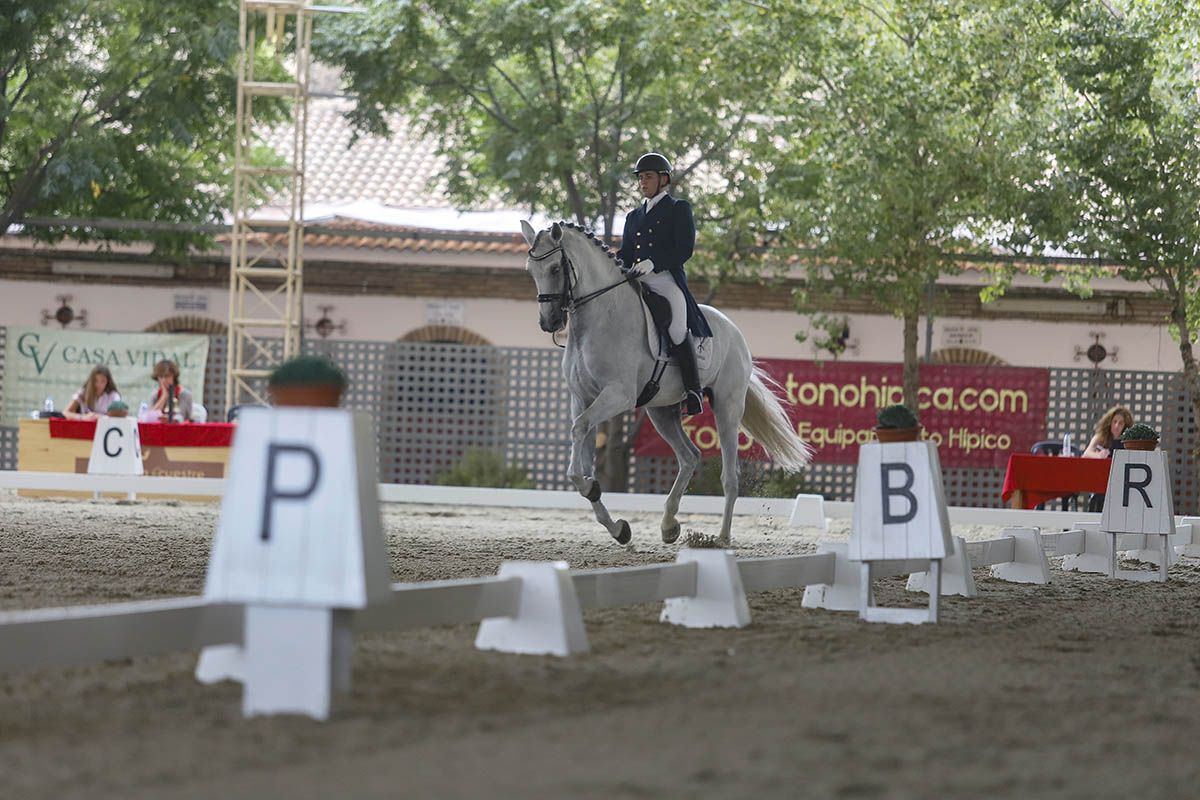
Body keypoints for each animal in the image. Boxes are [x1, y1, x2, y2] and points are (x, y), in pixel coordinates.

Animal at [520, 219, 811, 546]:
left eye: (556, 268)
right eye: (531, 270)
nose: (549, 323)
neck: (600, 315)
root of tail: (734, 331)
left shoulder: (617, 395)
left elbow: (579, 434)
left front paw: (591, 489)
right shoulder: (581, 398)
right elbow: (583, 448)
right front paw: (617, 526)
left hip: (727, 407)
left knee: (730, 475)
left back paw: (721, 537)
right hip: (661, 411)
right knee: (689, 457)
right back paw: (669, 524)